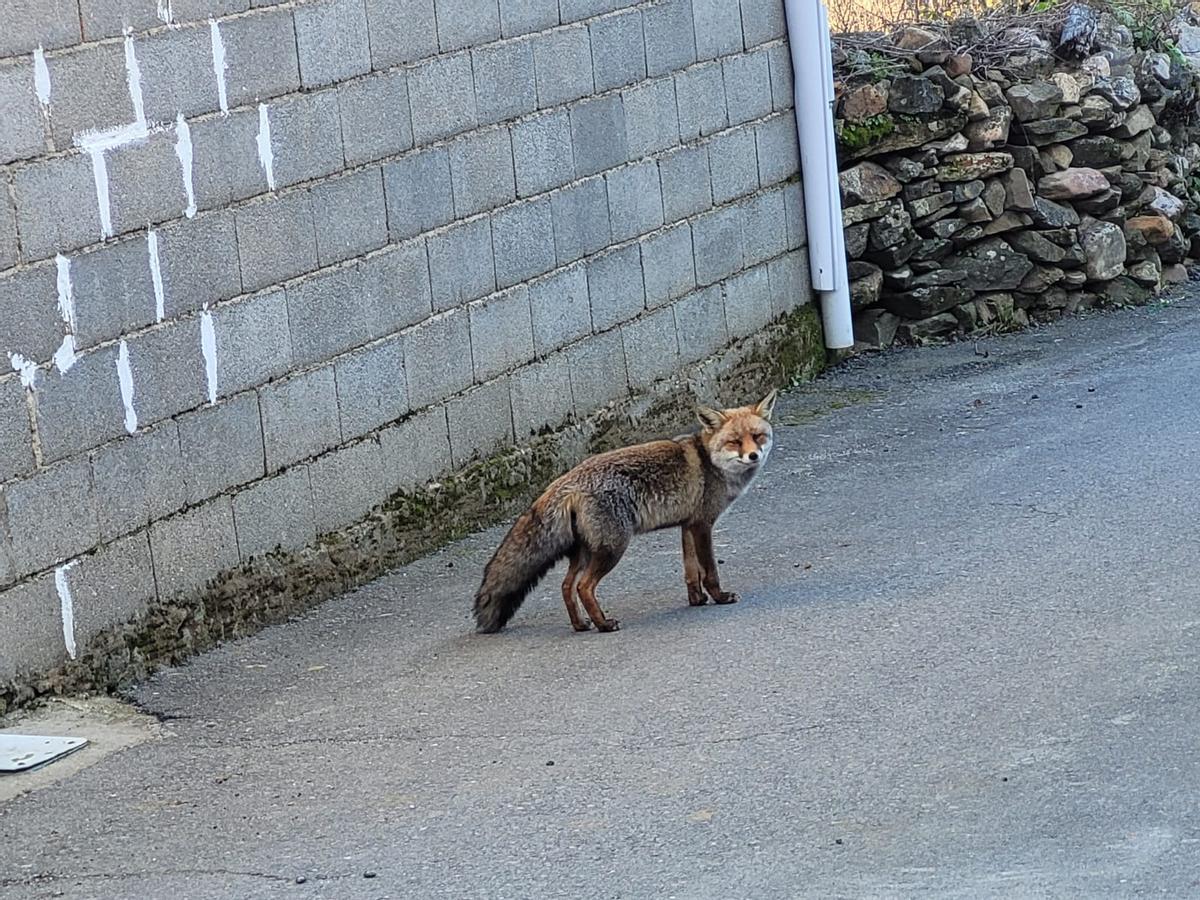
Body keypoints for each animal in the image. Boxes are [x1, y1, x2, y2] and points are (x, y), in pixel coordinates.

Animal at [473, 390, 779, 634]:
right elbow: (710, 570)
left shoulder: (687, 524)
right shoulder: (703, 524)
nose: (754, 455)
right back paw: (603, 625)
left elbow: (691, 571)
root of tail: (564, 481)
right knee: (584, 587)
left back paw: (581, 625)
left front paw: (696, 600)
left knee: (566, 587)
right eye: (735, 442)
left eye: (757, 436)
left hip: (586, 551)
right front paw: (719, 597)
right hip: (612, 547)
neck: (711, 464)